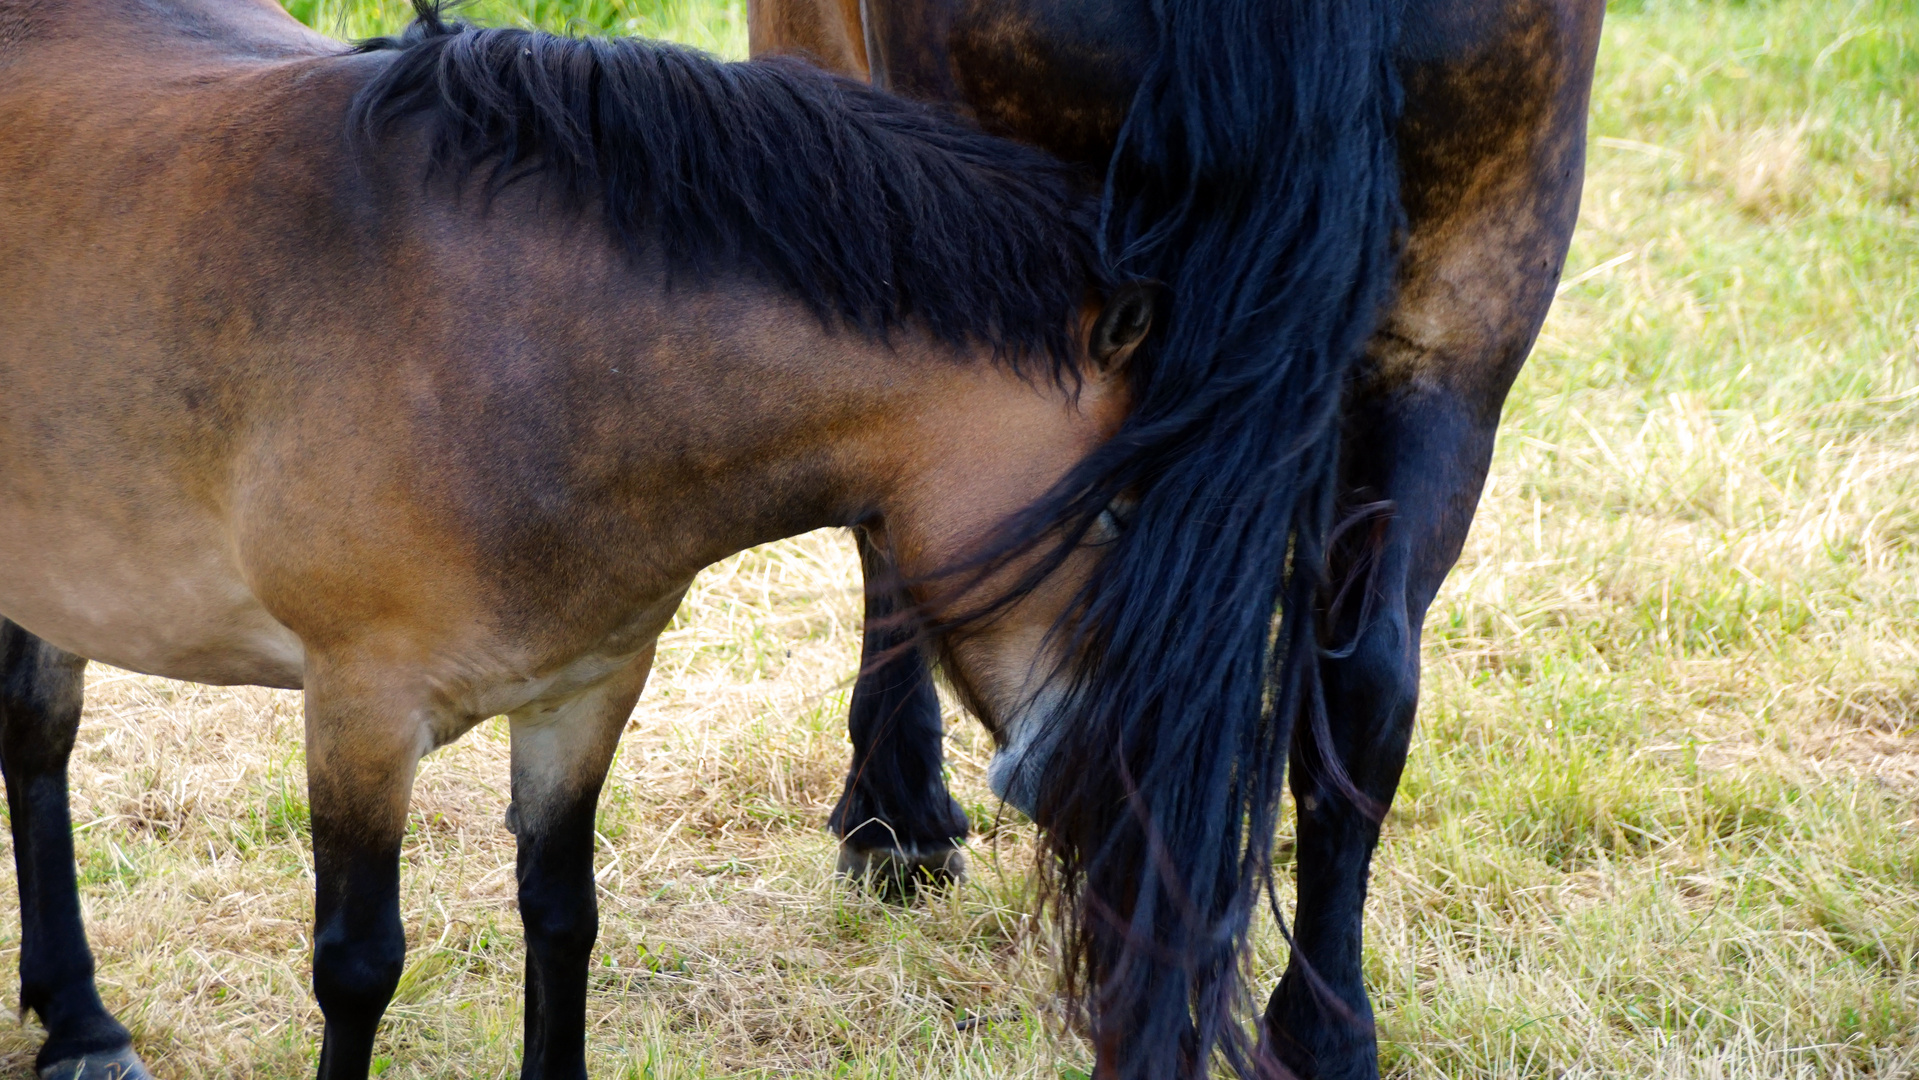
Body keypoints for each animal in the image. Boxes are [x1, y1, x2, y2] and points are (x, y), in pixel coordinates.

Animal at [0, 4, 1166, 1074]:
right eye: (1109, 513)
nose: (1112, 788)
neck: (517, 349)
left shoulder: (587, 690)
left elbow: (563, 921)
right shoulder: (360, 710)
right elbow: (358, 964)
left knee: (35, 734)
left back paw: (79, 1022)